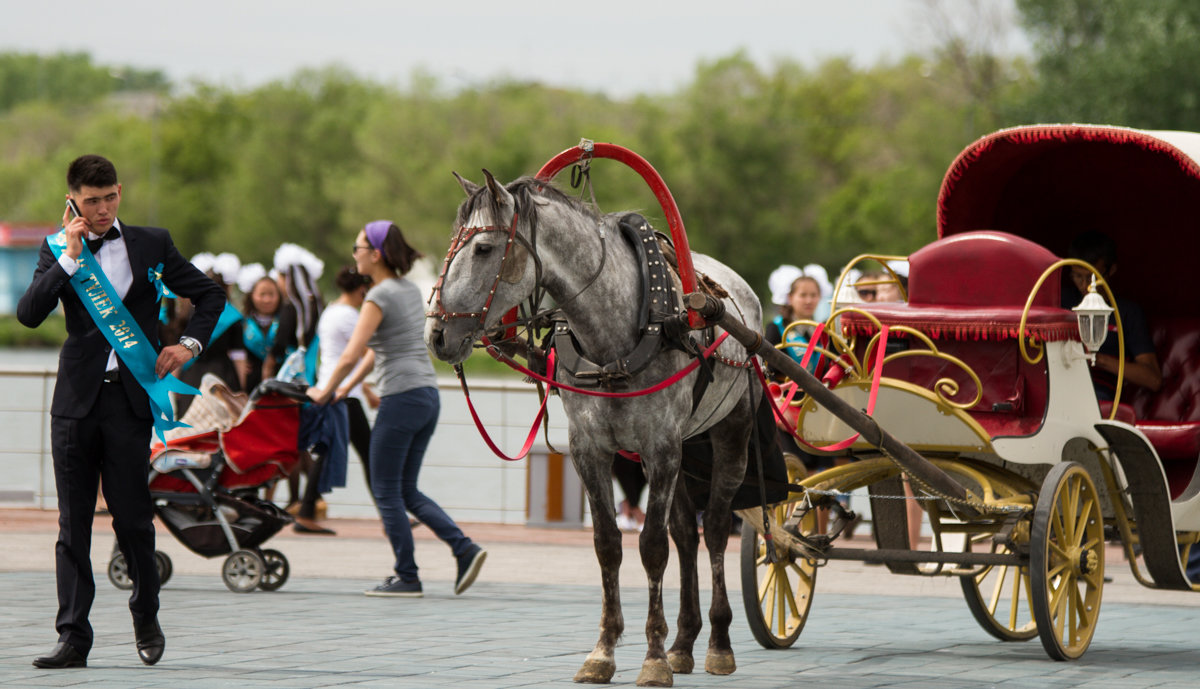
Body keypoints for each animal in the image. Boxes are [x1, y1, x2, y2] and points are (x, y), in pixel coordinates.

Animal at [424, 172, 758, 689]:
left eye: (482, 248)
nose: (437, 335)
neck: (616, 330)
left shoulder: (660, 447)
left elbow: (652, 547)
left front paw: (653, 658)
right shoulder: (590, 449)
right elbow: (607, 546)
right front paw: (604, 650)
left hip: (730, 433)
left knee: (718, 530)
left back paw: (718, 643)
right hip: (686, 445)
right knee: (687, 534)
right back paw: (685, 642)